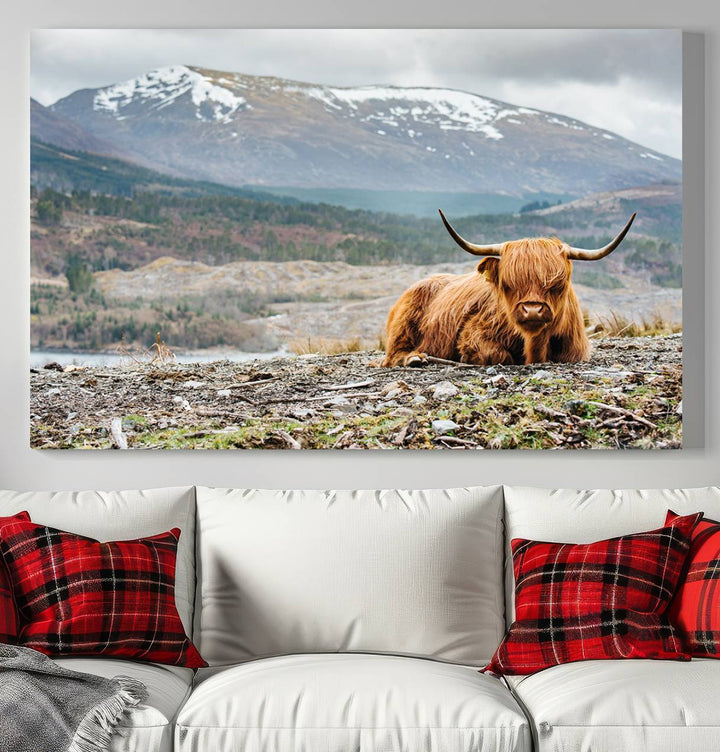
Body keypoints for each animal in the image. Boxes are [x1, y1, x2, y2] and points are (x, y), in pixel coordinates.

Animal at [382, 212, 636, 368]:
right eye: (508, 284)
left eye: (558, 284)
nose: (532, 310)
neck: (536, 345)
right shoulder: (473, 333)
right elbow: (497, 354)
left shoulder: (576, 351)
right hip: (403, 326)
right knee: (393, 354)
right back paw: (414, 359)